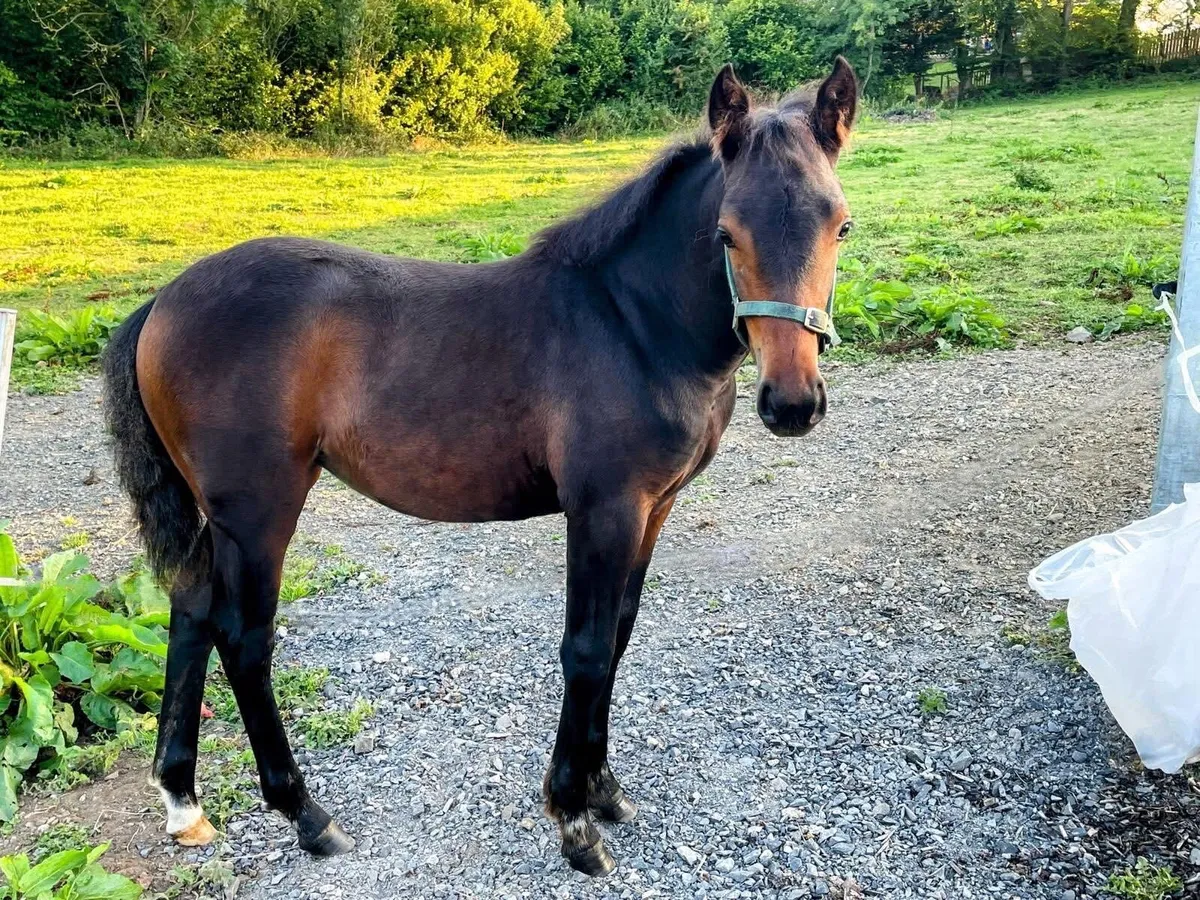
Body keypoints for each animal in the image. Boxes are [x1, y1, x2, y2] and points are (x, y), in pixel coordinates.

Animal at [101, 58, 858, 877]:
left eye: (840, 224)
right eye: (726, 232)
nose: (792, 402)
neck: (631, 322)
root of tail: (161, 301)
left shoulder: (654, 508)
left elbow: (617, 637)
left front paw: (605, 791)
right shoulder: (605, 508)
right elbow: (585, 649)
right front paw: (574, 820)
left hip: (216, 515)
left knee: (190, 612)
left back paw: (184, 801)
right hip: (258, 512)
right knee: (242, 638)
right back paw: (307, 815)